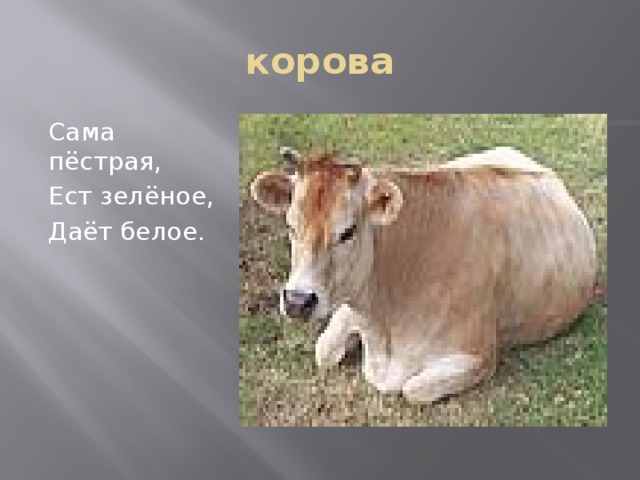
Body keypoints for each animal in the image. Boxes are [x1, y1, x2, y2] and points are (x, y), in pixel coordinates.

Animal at [249, 146, 597, 403]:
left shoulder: (479, 355)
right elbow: (323, 351)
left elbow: (414, 389)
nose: (297, 301)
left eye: (348, 231)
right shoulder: (349, 305)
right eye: (290, 226)